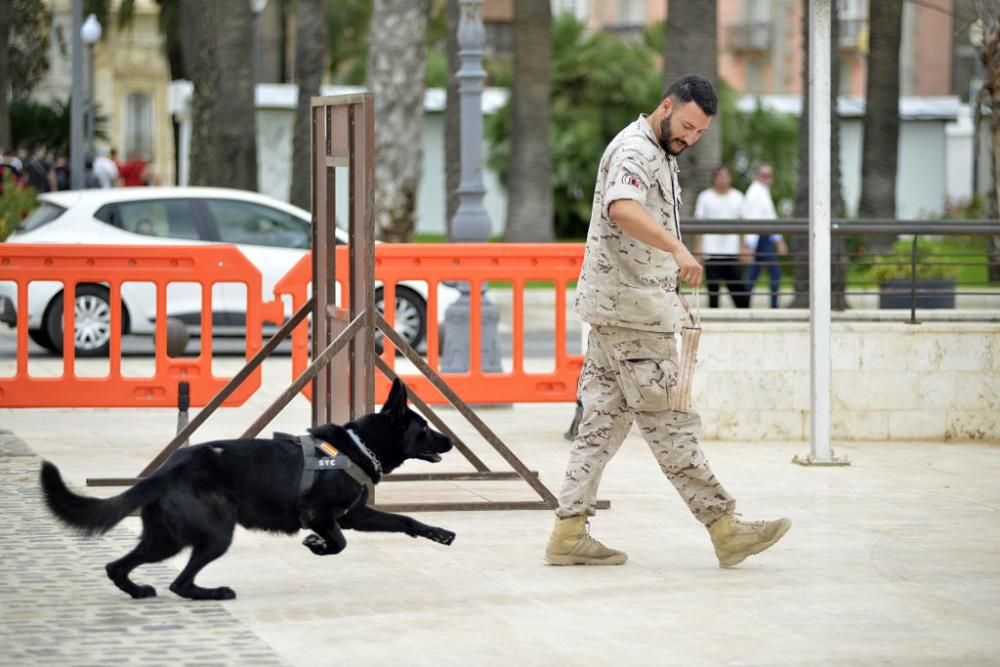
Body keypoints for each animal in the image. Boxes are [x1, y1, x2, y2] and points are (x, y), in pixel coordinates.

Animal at [41, 378, 456, 604]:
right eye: (425, 429)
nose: (451, 440)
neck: (358, 445)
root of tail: (167, 470)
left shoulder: (355, 515)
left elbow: (405, 520)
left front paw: (439, 533)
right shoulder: (320, 514)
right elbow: (339, 542)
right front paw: (317, 545)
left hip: (165, 540)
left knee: (119, 567)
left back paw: (139, 590)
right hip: (215, 535)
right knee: (180, 582)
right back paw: (216, 592)